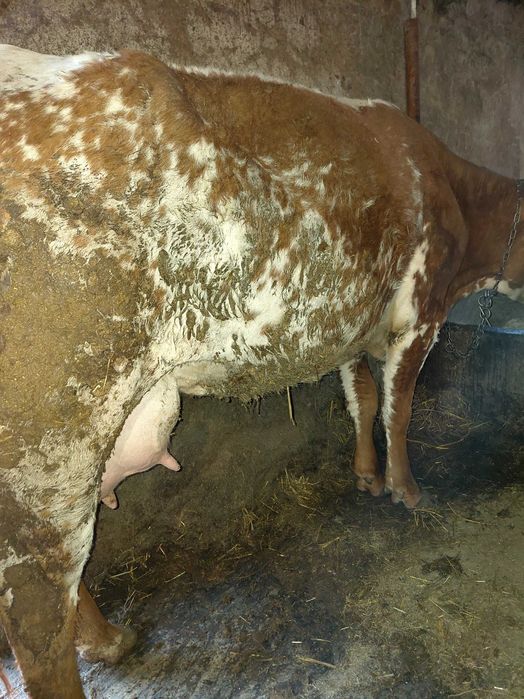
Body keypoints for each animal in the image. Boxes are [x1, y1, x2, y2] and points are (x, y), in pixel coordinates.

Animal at [0, 44, 522, 698]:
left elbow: (362, 398)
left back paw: (110, 639)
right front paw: (406, 489)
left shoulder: (349, 324)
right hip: (52, 452)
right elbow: (398, 408)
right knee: (40, 607)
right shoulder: (421, 313)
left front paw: (366, 476)